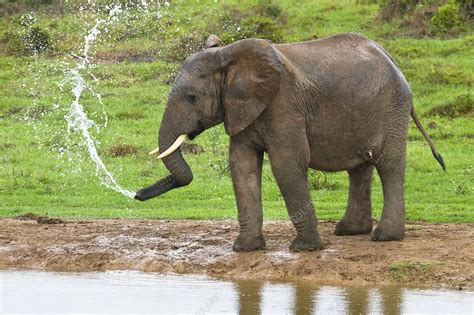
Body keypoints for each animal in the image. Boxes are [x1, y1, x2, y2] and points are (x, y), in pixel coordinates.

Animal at [134, 33, 444, 253]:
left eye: (191, 97)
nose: (136, 194)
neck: (230, 56)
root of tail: (392, 60)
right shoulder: (243, 109)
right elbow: (242, 166)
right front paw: (245, 249)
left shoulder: (284, 105)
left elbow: (287, 165)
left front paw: (304, 249)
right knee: (360, 166)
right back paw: (349, 231)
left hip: (392, 108)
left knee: (388, 164)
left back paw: (384, 237)